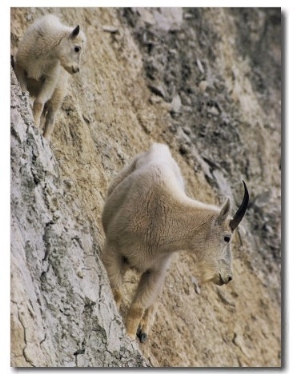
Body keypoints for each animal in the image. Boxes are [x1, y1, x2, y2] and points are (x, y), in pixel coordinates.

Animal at [101, 142, 248, 342]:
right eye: (227, 237)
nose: (228, 277)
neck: (164, 218)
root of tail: (160, 147)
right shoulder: (114, 248)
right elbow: (116, 291)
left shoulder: (156, 270)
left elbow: (138, 306)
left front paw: (130, 336)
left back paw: (144, 330)